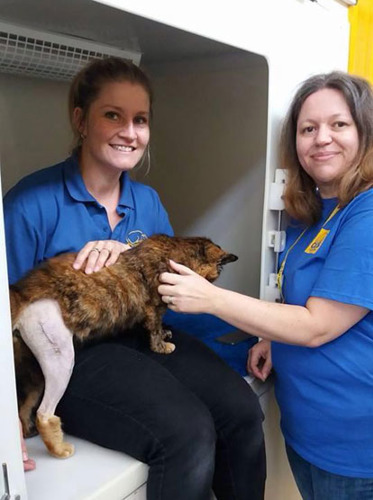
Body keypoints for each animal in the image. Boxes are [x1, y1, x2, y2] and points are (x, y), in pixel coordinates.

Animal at [12, 235, 235, 460]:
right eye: (218, 270)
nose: (216, 280)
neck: (175, 249)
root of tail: (22, 293)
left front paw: (165, 333)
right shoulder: (153, 306)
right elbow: (155, 329)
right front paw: (162, 346)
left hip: (35, 371)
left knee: (24, 406)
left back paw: (28, 431)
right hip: (61, 357)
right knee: (44, 413)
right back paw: (60, 449)